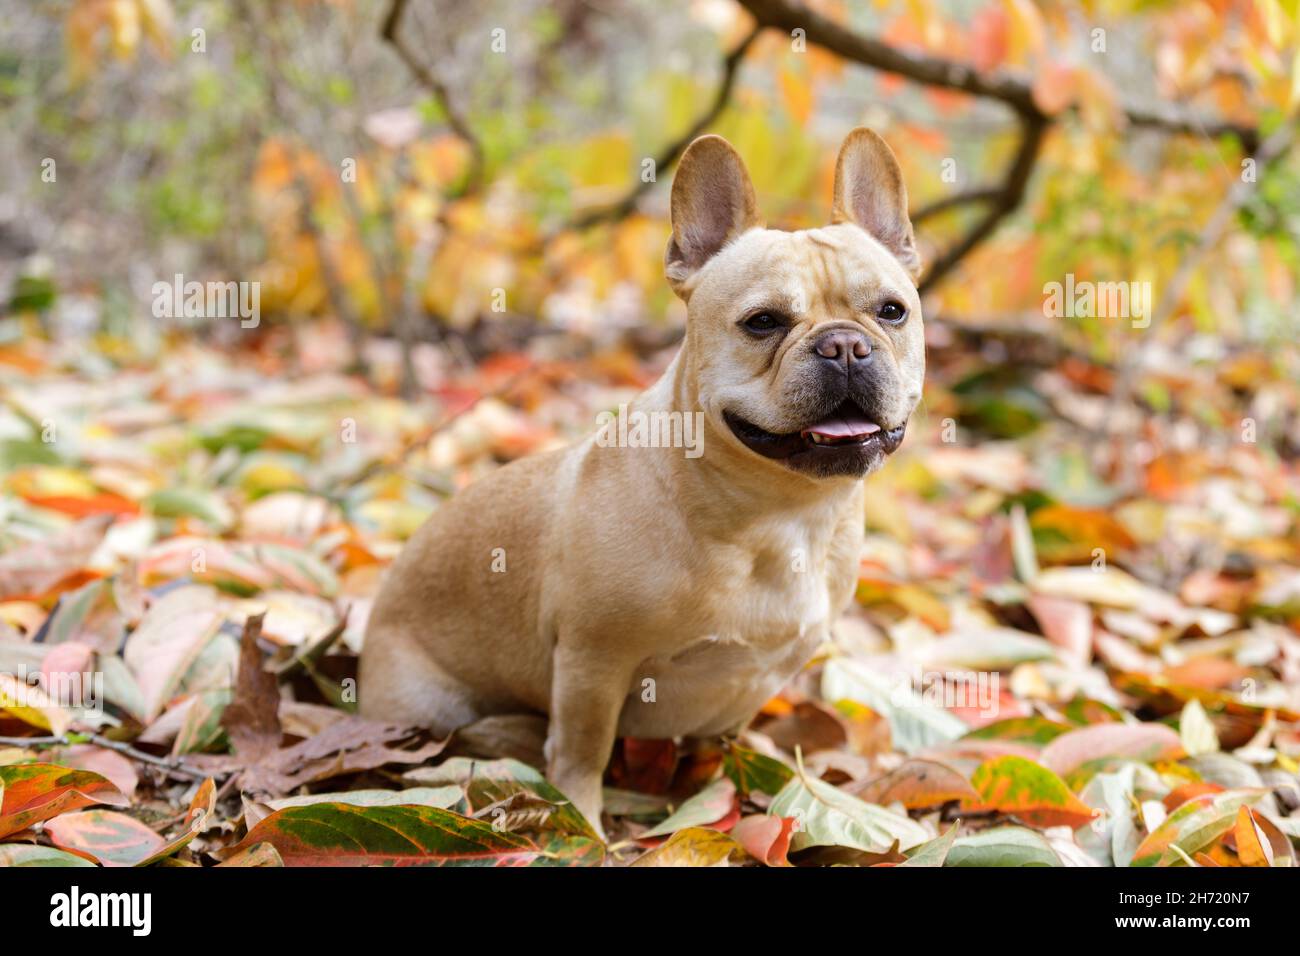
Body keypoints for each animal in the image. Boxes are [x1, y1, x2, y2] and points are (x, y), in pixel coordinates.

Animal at [358, 128, 925, 837]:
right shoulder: (593, 663)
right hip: (424, 709)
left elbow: (717, 741)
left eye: (892, 312)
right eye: (763, 322)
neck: (781, 514)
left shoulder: (752, 679)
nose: (845, 345)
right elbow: (583, 751)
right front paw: (585, 821)